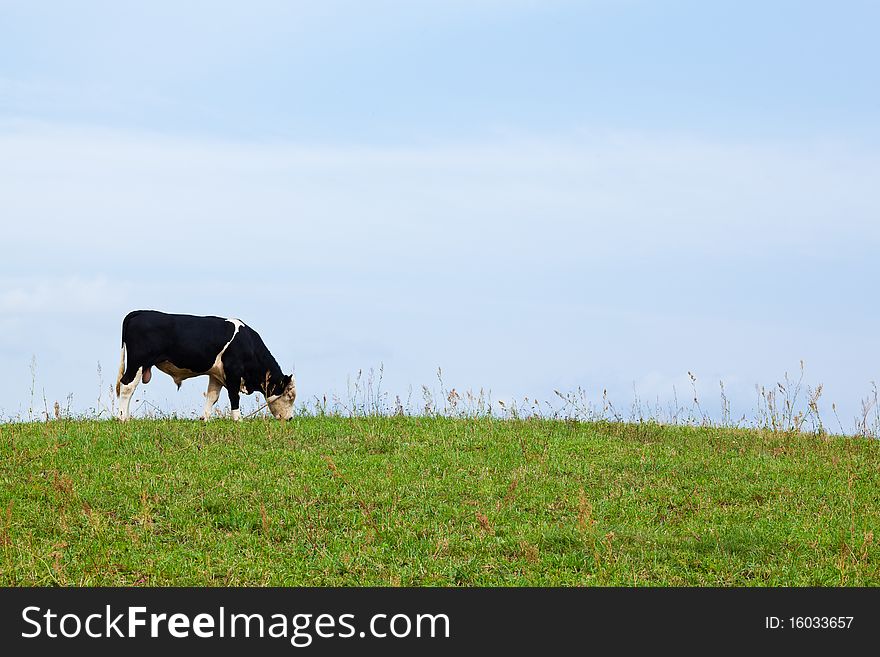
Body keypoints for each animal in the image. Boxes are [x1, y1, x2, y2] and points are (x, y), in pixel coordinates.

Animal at [114, 308, 296, 420]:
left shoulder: (216, 374)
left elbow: (212, 396)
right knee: (127, 387)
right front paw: (238, 420)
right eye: (289, 396)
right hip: (137, 362)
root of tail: (141, 312)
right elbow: (234, 395)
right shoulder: (233, 371)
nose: (289, 419)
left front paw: (205, 418)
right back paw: (123, 418)